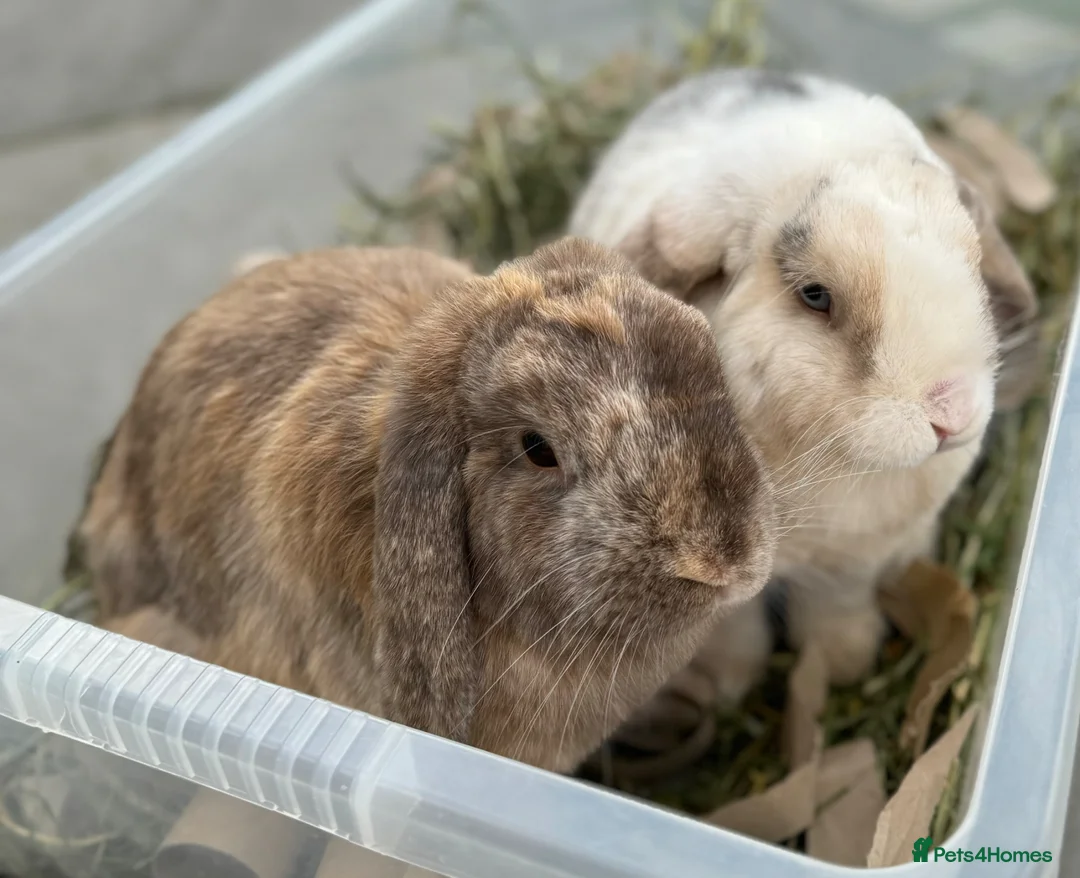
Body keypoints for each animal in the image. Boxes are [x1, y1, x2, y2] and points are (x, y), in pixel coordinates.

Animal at [568, 68, 1040, 712]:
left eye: (972, 261)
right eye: (815, 295)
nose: (952, 414)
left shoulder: (851, 565)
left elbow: (834, 611)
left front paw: (844, 665)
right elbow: (732, 635)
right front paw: (726, 688)